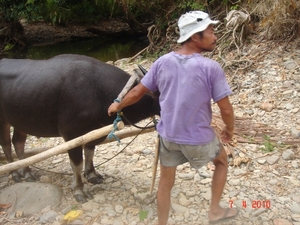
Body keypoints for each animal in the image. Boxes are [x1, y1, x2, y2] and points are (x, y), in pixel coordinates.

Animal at [0, 54, 161, 202]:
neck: (99, 91)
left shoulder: (93, 131)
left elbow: (90, 152)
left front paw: (92, 175)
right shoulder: (70, 134)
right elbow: (77, 164)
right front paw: (79, 190)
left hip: (20, 120)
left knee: (18, 143)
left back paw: (27, 172)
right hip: (4, 121)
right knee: (6, 145)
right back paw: (15, 173)